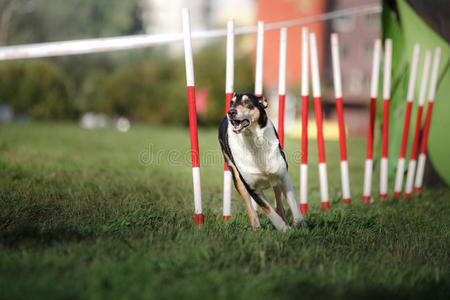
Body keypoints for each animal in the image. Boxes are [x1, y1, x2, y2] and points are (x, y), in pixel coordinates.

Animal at [218, 92, 306, 232]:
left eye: (247, 102)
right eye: (231, 102)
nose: (230, 112)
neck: (255, 140)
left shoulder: (283, 176)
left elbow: (294, 205)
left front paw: (300, 226)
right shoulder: (251, 187)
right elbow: (268, 209)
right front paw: (283, 228)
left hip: (275, 181)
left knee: (279, 204)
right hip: (237, 180)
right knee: (251, 208)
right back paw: (257, 227)